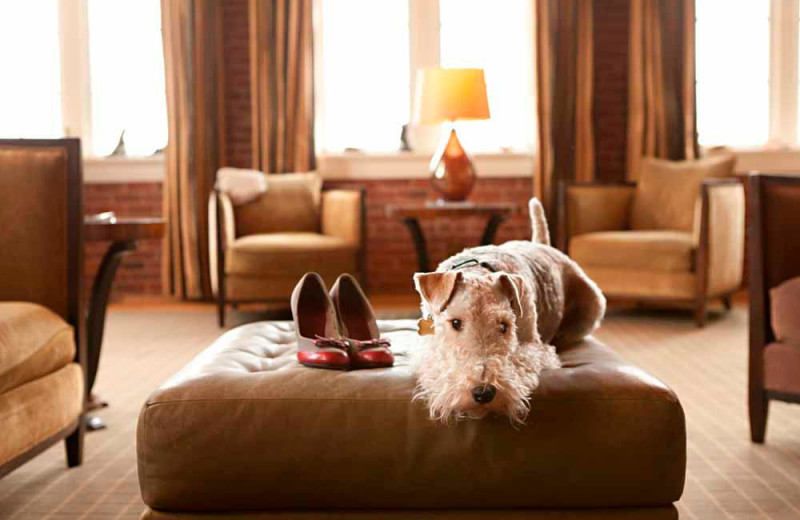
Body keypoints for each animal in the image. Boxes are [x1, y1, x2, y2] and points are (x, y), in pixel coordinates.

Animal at [412, 198, 608, 422]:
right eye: (455, 322)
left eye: (504, 326)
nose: (483, 393)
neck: (478, 271)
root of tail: (542, 244)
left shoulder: (534, 346)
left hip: (593, 303)